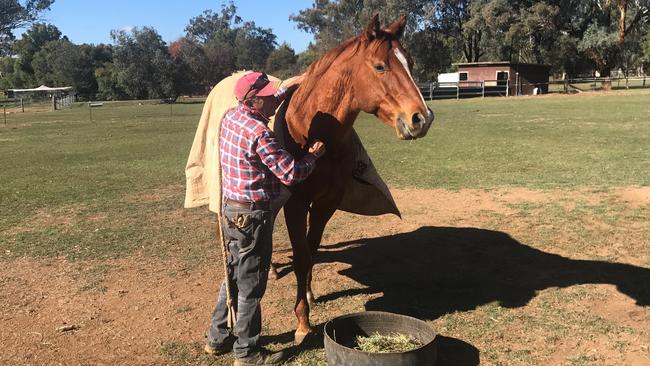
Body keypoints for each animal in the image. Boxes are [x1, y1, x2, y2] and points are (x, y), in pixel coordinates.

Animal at [278, 15, 430, 346]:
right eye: (380, 66)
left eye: (410, 62)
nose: (422, 118)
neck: (310, 130)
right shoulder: (294, 205)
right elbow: (300, 256)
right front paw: (302, 322)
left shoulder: (326, 203)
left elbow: (310, 251)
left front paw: (309, 297)